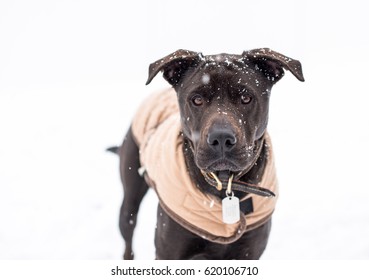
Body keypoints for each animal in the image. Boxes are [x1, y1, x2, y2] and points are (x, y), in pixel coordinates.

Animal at [110, 48, 304, 260]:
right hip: (129, 196)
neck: (225, 184)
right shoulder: (169, 251)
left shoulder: (249, 252)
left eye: (246, 98)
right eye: (197, 100)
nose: (221, 138)